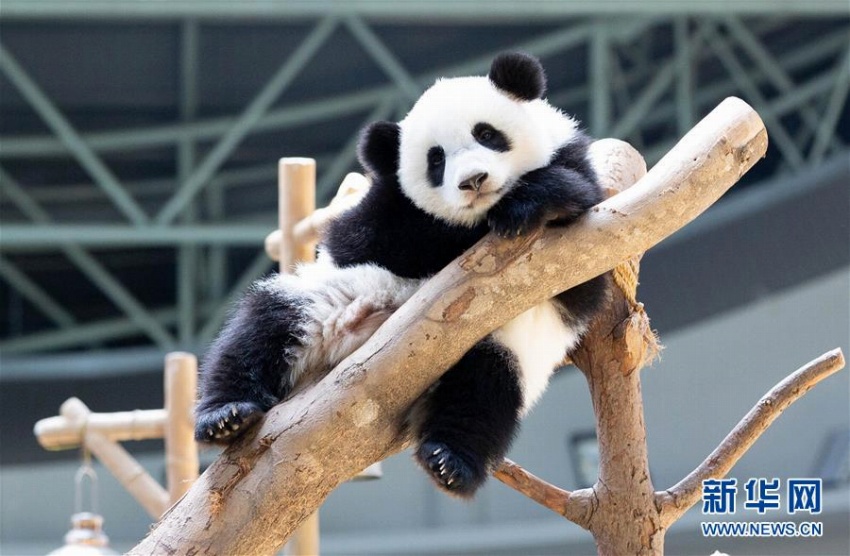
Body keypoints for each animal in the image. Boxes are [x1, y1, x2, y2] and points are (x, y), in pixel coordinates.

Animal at [195, 51, 608, 496]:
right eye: (436, 160)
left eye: (487, 134)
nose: (473, 181)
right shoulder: (380, 214)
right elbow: (368, 238)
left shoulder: (576, 227)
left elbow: (582, 281)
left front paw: (538, 197)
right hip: (328, 299)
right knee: (262, 326)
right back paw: (225, 415)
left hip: (496, 342)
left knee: (487, 389)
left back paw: (450, 462)